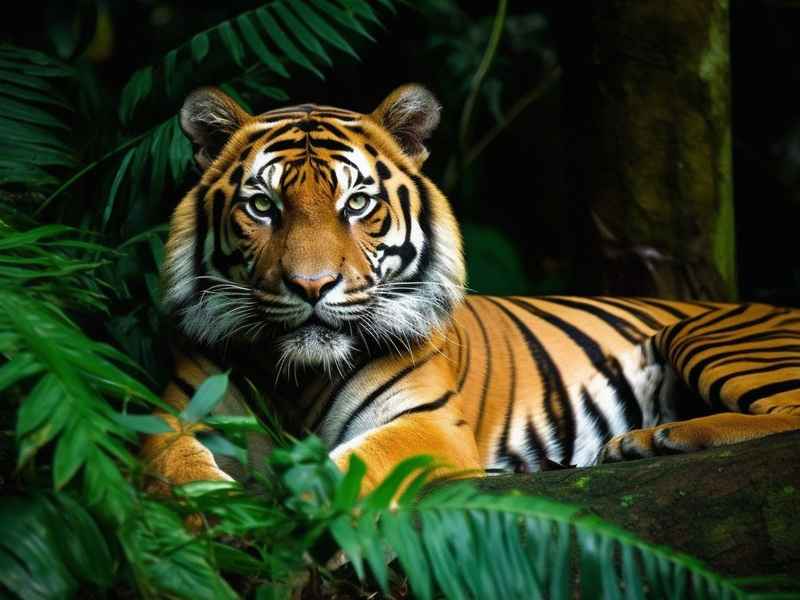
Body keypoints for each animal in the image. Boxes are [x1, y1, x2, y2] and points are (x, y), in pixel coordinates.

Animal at [141, 84, 800, 493]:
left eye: (356, 205)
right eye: (263, 206)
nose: (312, 286)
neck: (297, 378)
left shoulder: (426, 424)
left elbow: (351, 469)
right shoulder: (170, 419)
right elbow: (171, 468)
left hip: (712, 335)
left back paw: (658, 438)